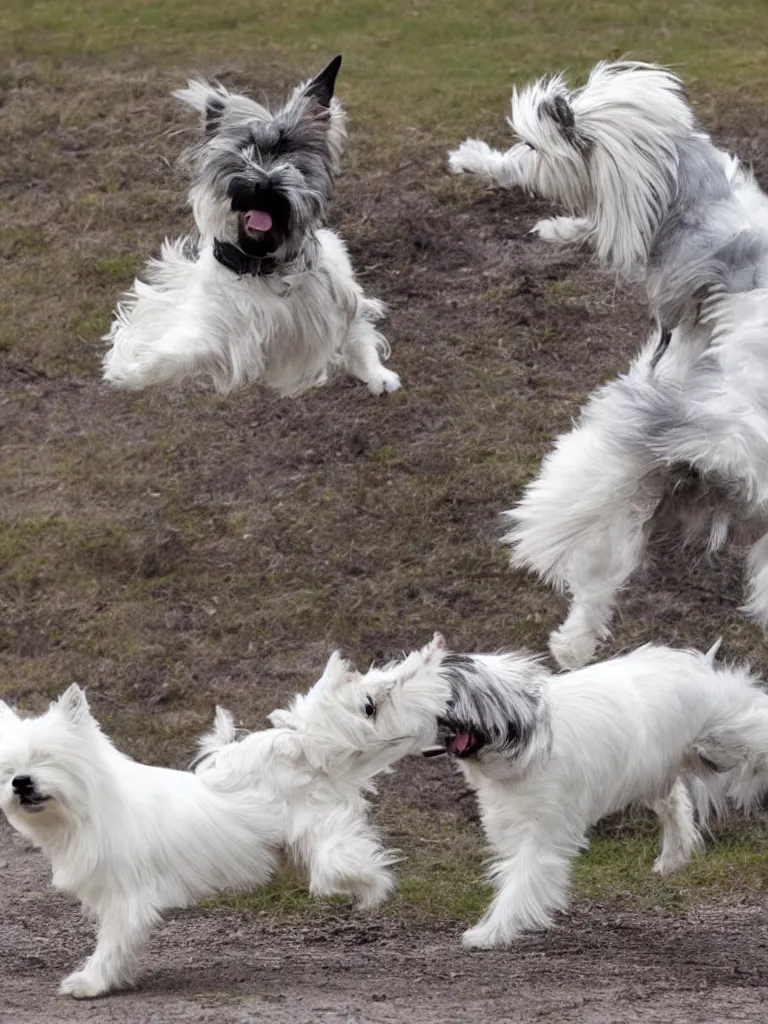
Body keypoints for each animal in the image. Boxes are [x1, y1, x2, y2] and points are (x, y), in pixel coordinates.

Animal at [0, 634, 450, 995]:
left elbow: (111, 943)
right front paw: (115, 977)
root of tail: (302, 748)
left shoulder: (126, 896)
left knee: (342, 862)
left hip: (320, 829)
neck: (90, 807)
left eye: (47, 758)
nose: (21, 783)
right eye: (8, 768)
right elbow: (121, 943)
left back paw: (374, 885)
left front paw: (90, 983)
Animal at [102, 54, 403, 399]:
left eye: (291, 157)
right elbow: (176, 351)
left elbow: (357, 334)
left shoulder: (337, 299)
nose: (265, 184)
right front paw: (131, 369)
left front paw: (377, 373)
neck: (264, 268)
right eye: (244, 154)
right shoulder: (219, 324)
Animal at [423, 638, 768, 950]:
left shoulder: (544, 831)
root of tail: (695, 666)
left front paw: (491, 932)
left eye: (455, 696)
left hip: (719, 742)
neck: (530, 741)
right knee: (674, 804)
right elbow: (514, 875)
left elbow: (522, 881)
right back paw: (673, 856)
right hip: (658, 768)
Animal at [448, 66, 768, 671]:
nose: (519, 156)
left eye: (531, 145)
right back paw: (573, 647)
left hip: (614, 465)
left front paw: (483, 164)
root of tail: (721, 452)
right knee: (604, 578)